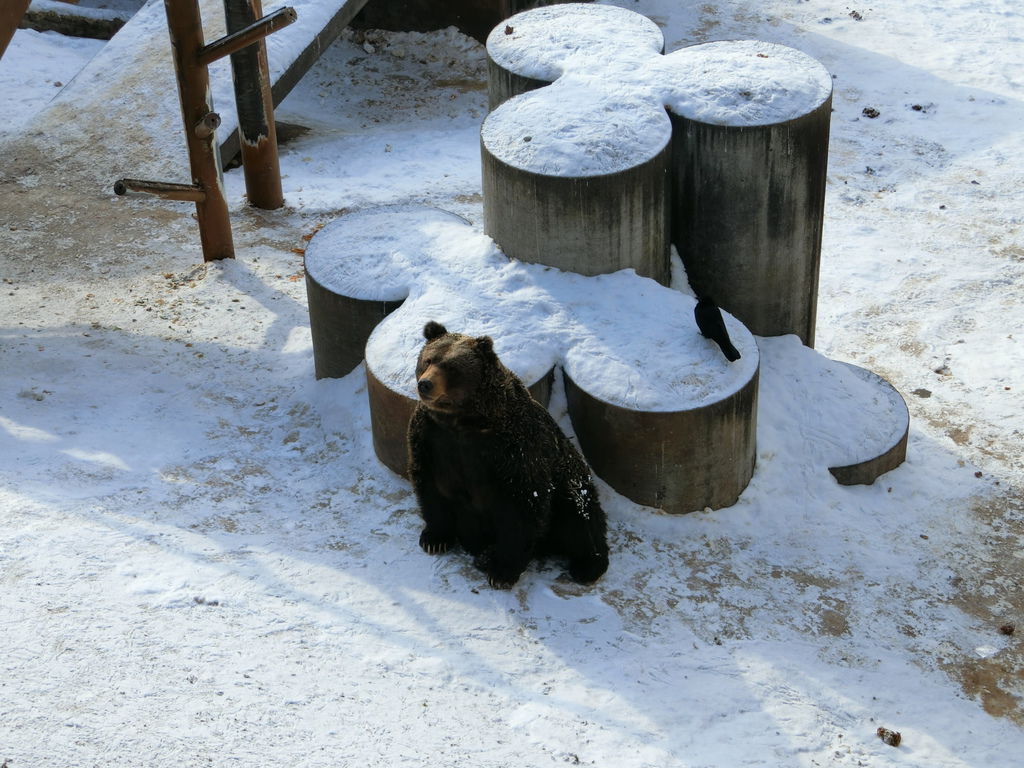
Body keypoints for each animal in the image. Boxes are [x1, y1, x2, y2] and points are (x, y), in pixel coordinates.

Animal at [407, 321, 609, 589]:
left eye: (451, 367)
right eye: (428, 360)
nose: (425, 384)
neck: (461, 421)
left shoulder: (513, 449)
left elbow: (522, 503)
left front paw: (502, 572)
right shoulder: (431, 438)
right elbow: (430, 486)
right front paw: (434, 539)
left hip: (569, 480)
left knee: (580, 515)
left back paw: (587, 566)